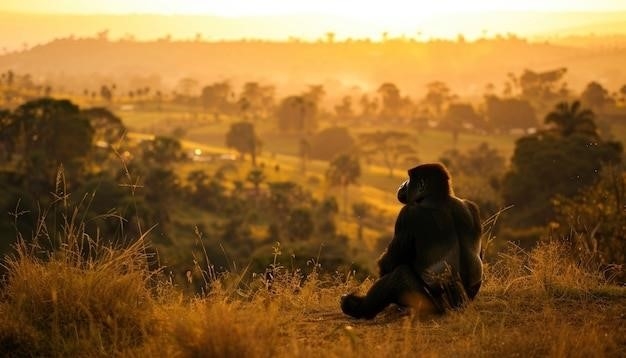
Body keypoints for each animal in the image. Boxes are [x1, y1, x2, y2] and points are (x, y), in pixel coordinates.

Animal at [338, 163, 480, 318]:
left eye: (409, 179)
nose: (402, 184)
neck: (439, 197)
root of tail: (462, 304)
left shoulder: (407, 214)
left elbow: (388, 264)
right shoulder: (471, 206)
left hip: (435, 307)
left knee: (399, 275)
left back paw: (356, 307)